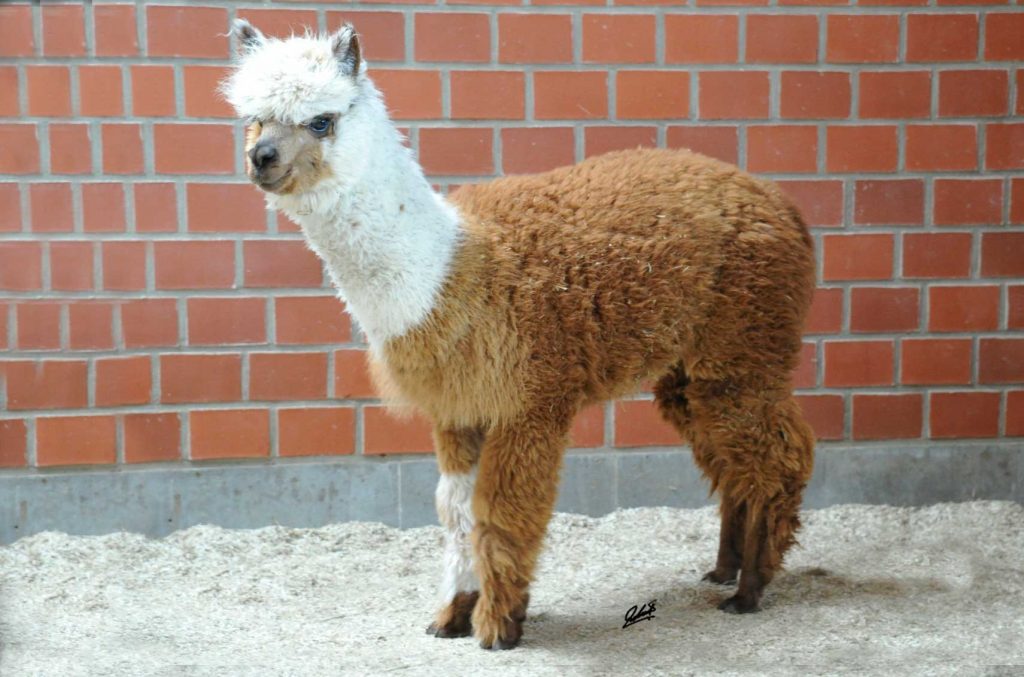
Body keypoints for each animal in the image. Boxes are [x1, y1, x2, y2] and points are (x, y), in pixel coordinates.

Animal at [223, 21, 816, 651]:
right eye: (253, 119)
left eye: (321, 121)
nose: (261, 158)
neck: (448, 271)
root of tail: (782, 203)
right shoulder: (458, 408)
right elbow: (455, 510)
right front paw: (452, 616)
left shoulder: (527, 401)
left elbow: (506, 508)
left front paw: (498, 626)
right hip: (694, 368)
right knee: (731, 460)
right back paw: (723, 568)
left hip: (744, 347)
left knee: (781, 455)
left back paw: (749, 590)